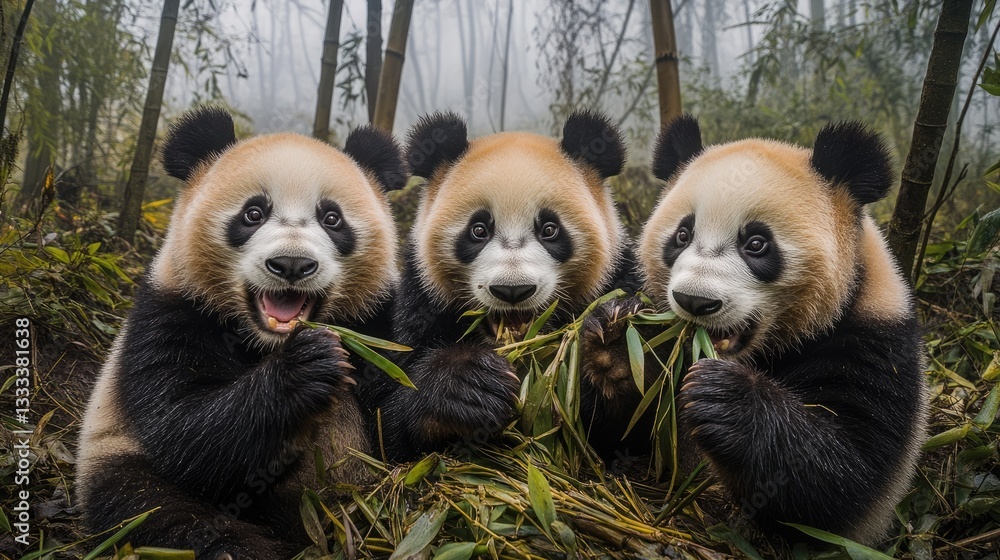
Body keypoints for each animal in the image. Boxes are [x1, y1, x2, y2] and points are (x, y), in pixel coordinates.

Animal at [76, 107, 405, 559]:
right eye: (253, 213)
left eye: (331, 218)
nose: (291, 264)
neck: (265, 341)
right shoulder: (170, 312)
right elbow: (182, 429)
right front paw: (306, 367)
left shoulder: (376, 322)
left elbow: (399, 419)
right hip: (114, 456)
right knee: (156, 512)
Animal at [362, 110, 648, 461]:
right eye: (478, 230)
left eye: (550, 229)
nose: (513, 290)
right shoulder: (419, 304)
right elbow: (385, 421)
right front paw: (469, 386)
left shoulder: (620, 275)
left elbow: (630, 432)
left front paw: (616, 344)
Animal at [638, 116, 927, 544]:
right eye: (682, 235)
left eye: (757, 243)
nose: (695, 301)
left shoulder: (876, 341)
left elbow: (846, 476)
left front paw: (724, 398)